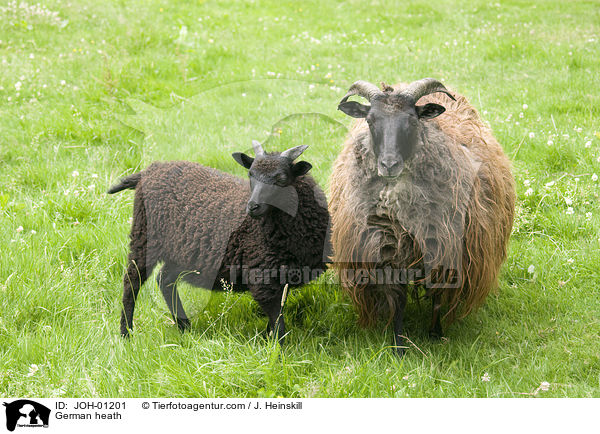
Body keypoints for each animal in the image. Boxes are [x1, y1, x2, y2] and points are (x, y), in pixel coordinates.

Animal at [110, 141, 330, 344]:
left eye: (282, 178)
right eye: (250, 174)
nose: (252, 207)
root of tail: (150, 170)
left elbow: (277, 316)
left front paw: (270, 340)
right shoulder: (262, 275)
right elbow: (278, 321)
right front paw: (277, 350)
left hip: (184, 252)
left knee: (165, 280)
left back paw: (185, 327)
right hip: (145, 237)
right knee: (132, 281)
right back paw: (126, 333)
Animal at [328, 78, 516, 356]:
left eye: (412, 120)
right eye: (370, 120)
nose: (389, 165)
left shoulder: (445, 249)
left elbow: (437, 297)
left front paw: (435, 335)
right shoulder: (387, 251)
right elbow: (397, 301)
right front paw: (398, 346)